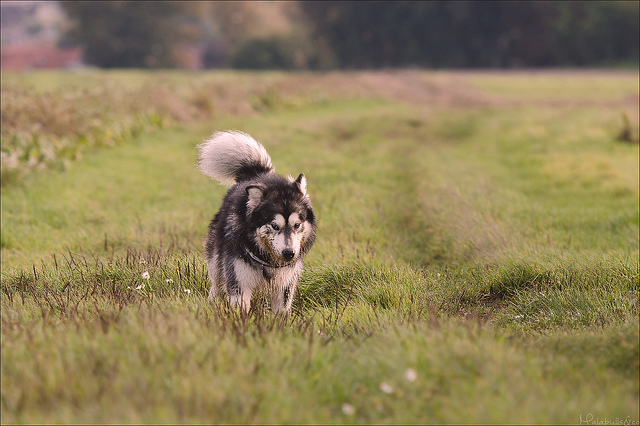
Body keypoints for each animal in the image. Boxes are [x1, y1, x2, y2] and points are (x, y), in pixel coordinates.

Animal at [195, 131, 316, 314]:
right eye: (274, 226)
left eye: (297, 225)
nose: (289, 253)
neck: (268, 258)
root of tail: (255, 175)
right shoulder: (239, 283)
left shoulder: (285, 285)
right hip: (217, 262)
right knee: (216, 284)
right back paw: (211, 302)